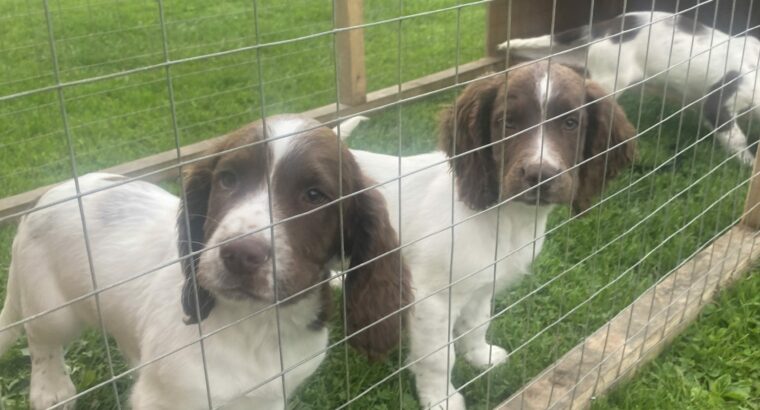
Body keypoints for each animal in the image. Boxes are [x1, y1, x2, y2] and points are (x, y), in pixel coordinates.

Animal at [0, 115, 410, 410]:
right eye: (227, 180)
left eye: (314, 195)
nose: (239, 254)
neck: (259, 323)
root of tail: (50, 194)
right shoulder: (165, 400)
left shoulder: (267, 398)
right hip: (53, 308)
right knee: (42, 342)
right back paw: (51, 391)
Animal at [348, 61, 636, 410]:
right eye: (506, 122)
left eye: (571, 123)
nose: (539, 176)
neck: (506, 217)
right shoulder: (433, 299)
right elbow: (438, 357)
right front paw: (441, 399)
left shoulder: (484, 284)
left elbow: (477, 323)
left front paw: (480, 357)